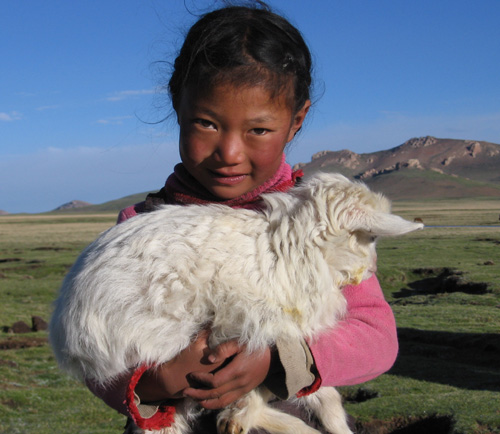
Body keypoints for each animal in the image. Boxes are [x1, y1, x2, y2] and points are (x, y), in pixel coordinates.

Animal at [48, 173, 422, 434]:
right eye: (369, 237)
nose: (369, 272)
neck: (295, 245)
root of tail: (69, 340)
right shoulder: (245, 322)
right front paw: (241, 416)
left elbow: (313, 388)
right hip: (161, 342)